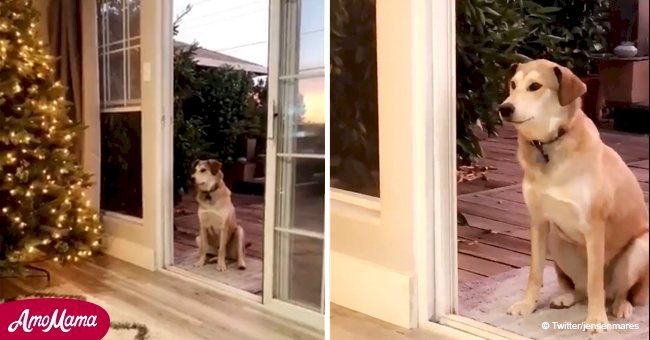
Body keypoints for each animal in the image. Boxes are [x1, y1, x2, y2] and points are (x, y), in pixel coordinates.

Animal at [498, 59, 644, 334]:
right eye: (513, 84)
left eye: (535, 86)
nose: (504, 108)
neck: (549, 146)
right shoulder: (538, 222)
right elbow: (535, 272)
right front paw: (527, 304)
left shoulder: (594, 227)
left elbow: (595, 281)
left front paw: (596, 319)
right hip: (557, 239)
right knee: (580, 288)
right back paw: (567, 297)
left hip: (641, 247)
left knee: (618, 290)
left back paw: (620, 306)